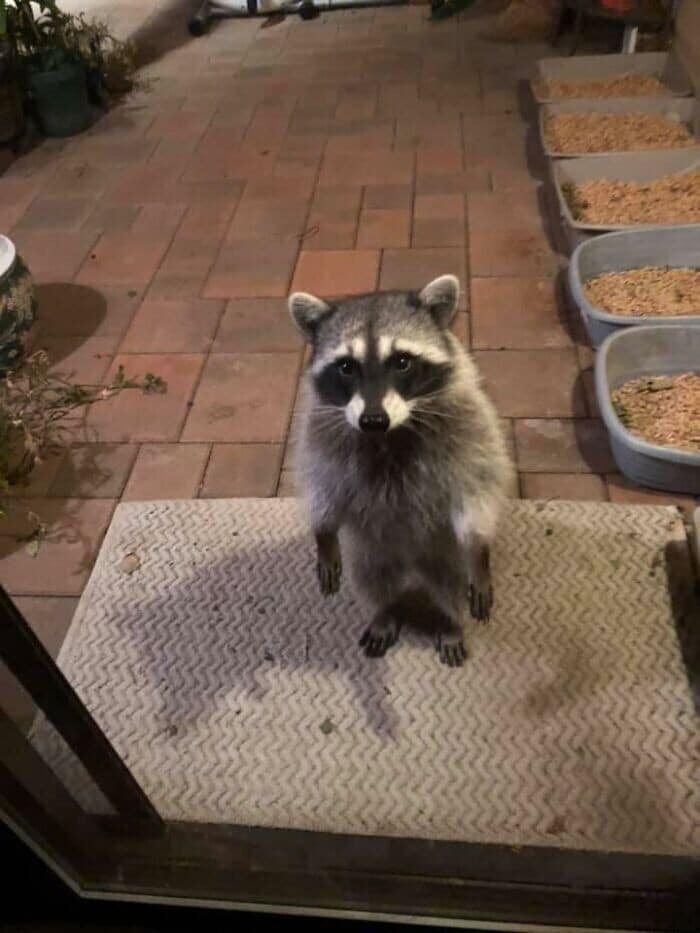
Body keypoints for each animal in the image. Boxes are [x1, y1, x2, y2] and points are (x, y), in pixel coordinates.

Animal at [288, 275, 512, 667]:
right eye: (346, 367)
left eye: (402, 361)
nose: (373, 420)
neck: (390, 434)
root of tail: (412, 567)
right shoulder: (321, 435)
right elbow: (323, 487)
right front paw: (324, 534)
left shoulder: (471, 428)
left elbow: (477, 489)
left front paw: (479, 553)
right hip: (370, 551)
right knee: (372, 582)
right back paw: (383, 614)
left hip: (443, 552)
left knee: (449, 586)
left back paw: (450, 622)